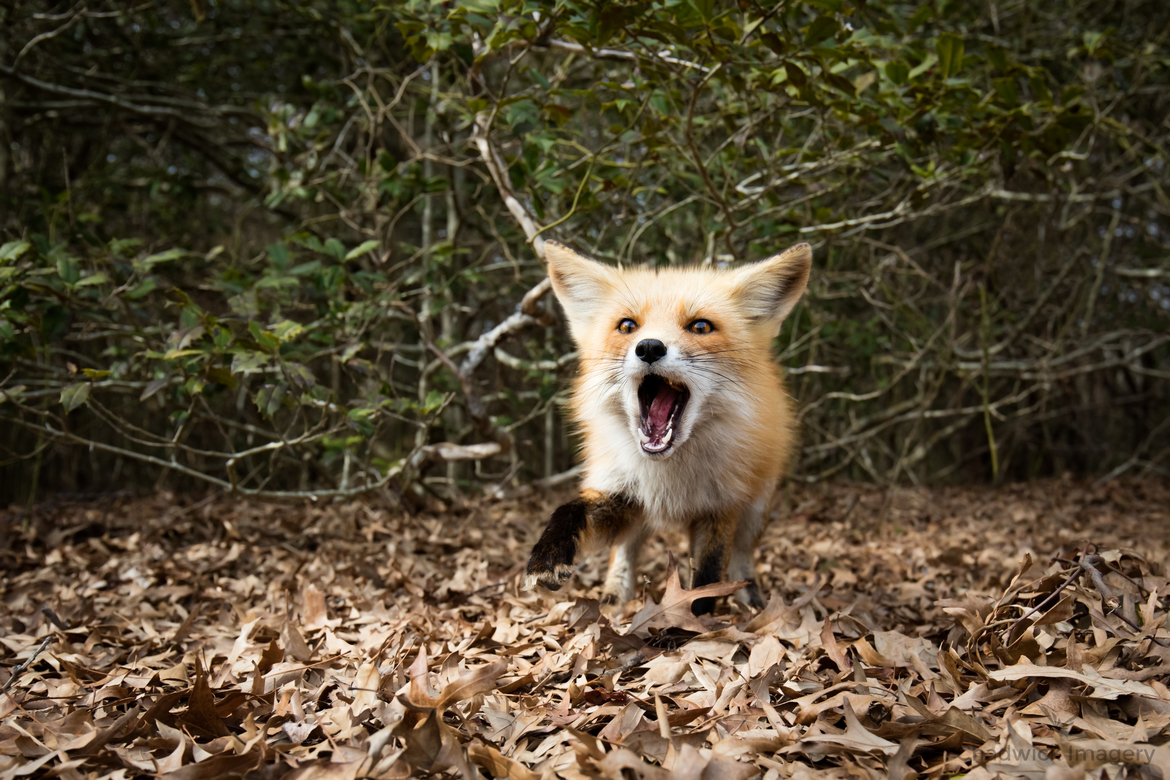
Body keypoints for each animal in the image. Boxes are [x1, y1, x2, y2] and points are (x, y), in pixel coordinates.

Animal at [524, 240, 812, 614]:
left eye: (701, 326)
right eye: (627, 326)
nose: (649, 347)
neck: (669, 476)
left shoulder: (722, 507)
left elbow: (707, 578)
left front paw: (691, 623)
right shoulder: (622, 493)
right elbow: (568, 510)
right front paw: (547, 555)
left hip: (756, 508)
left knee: (742, 557)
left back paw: (750, 597)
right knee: (625, 550)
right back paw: (615, 595)